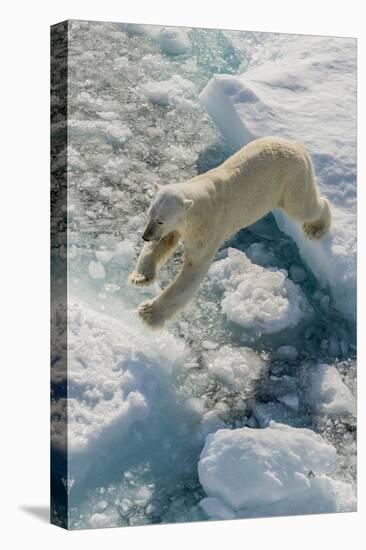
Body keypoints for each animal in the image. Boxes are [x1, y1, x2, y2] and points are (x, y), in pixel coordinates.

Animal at [129, 138, 332, 330]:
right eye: (149, 214)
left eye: (160, 220)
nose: (145, 236)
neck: (200, 205)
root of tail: (297, 145)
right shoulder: (180, 226)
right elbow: (162, 243)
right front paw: (140, 278)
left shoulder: (209, 227)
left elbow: (193, 268)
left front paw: (148, 312)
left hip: (291, 179)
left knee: (302, 207)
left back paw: (316, 227)